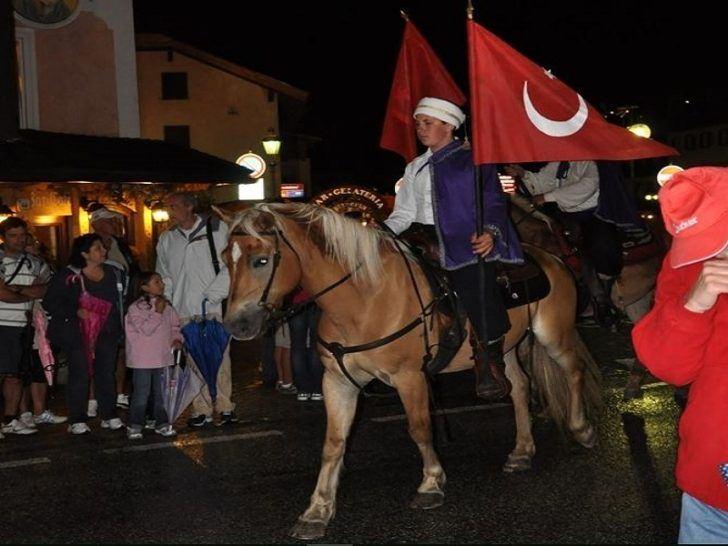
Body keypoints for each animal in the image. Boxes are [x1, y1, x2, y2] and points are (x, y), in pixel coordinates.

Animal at [219, 202, 600, 536]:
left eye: (261, 260)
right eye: (224, 260)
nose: (236, 325)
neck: (364, 299)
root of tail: (552, 258)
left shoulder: (409, 378)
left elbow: (419, 429)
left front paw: (431, 483)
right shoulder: (337, 382)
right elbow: (334, 442)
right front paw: (317, 510)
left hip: (553, 335)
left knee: (574, 370)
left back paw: (581, 430)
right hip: (503, 349)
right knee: (519, 388)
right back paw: (521, 452)